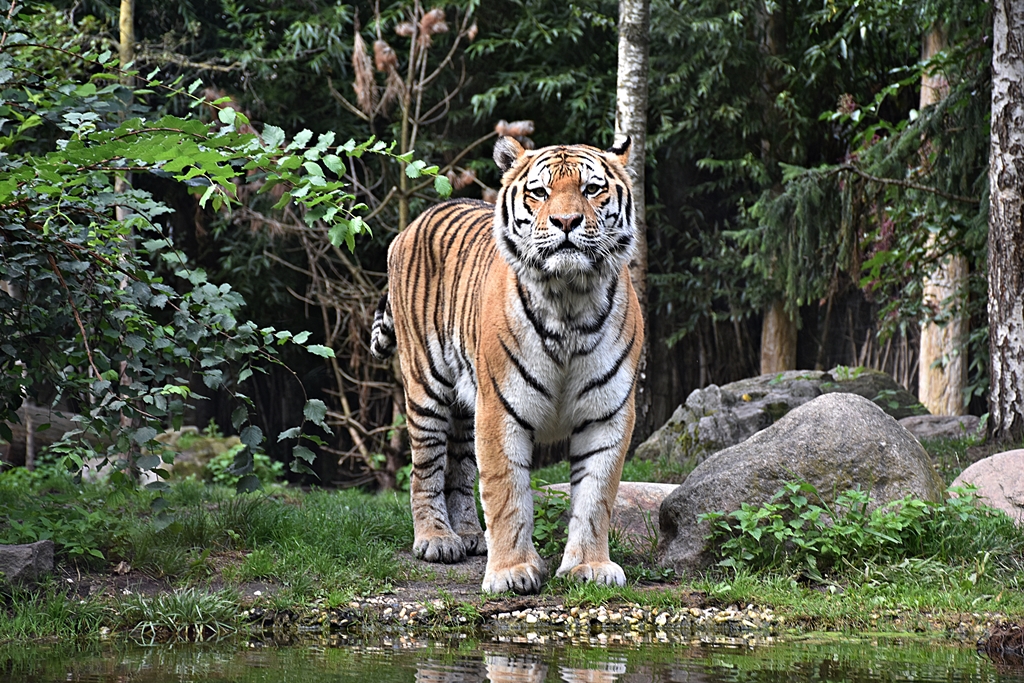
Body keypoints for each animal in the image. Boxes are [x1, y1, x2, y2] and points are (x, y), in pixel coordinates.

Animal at [370, 135, 643, 594]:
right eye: (540, 192)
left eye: (591, 189)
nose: (566, 221)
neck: (569, 300)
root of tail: (412, 224)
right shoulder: (501, 409)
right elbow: (506, 492)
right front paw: (512, 572)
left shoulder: (607, 413)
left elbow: (596, 496)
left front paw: (590, 566)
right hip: (426, 387)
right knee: (425, 468)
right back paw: (436, 539)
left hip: (467, 405)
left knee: (460, 468)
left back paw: (468, 534)